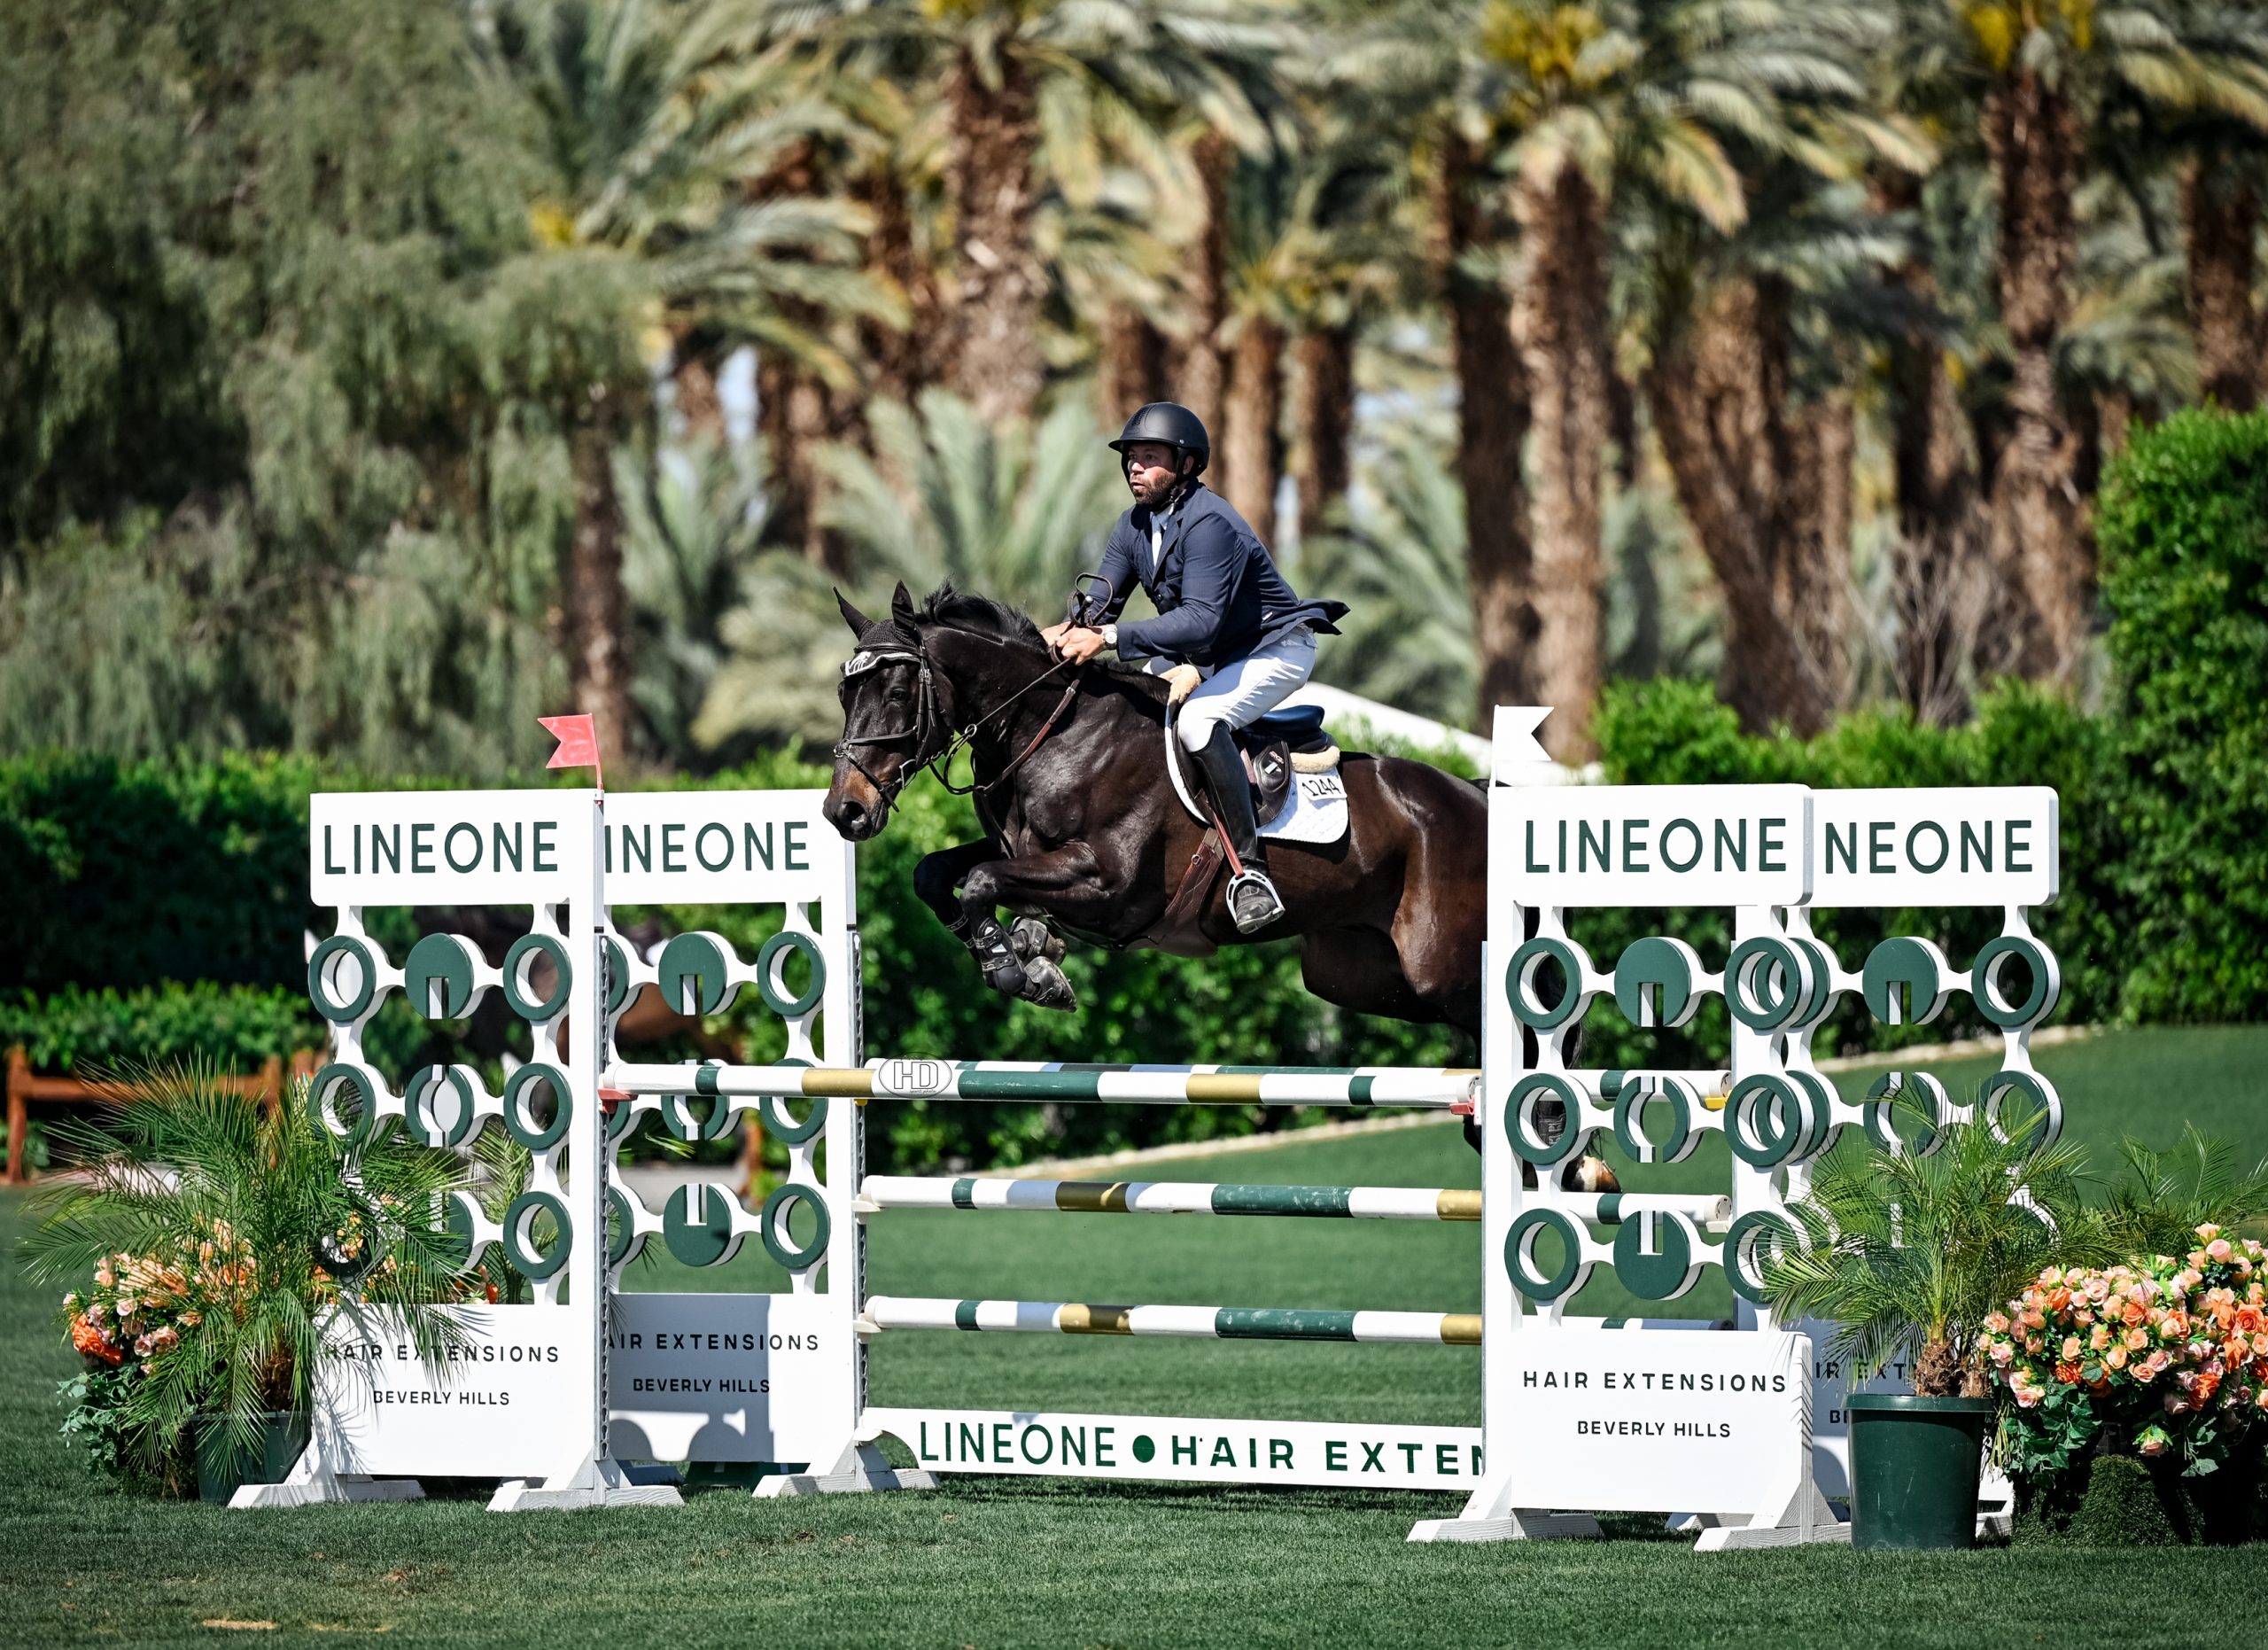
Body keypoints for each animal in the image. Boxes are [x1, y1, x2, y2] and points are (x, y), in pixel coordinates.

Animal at [820, 583, 1609, 1188]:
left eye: (898, 689)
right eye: (843, 690)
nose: (843, 812)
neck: (1054, 732)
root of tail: (1476, 795)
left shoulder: (1107, 888)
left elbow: (983, 882)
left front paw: (1020, 967)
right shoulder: (1023, 852)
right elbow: (938, 874)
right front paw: (1030, 951)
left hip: (1444, 965)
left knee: (1539, 1026)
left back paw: (1561, 1138)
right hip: (1361, 978)